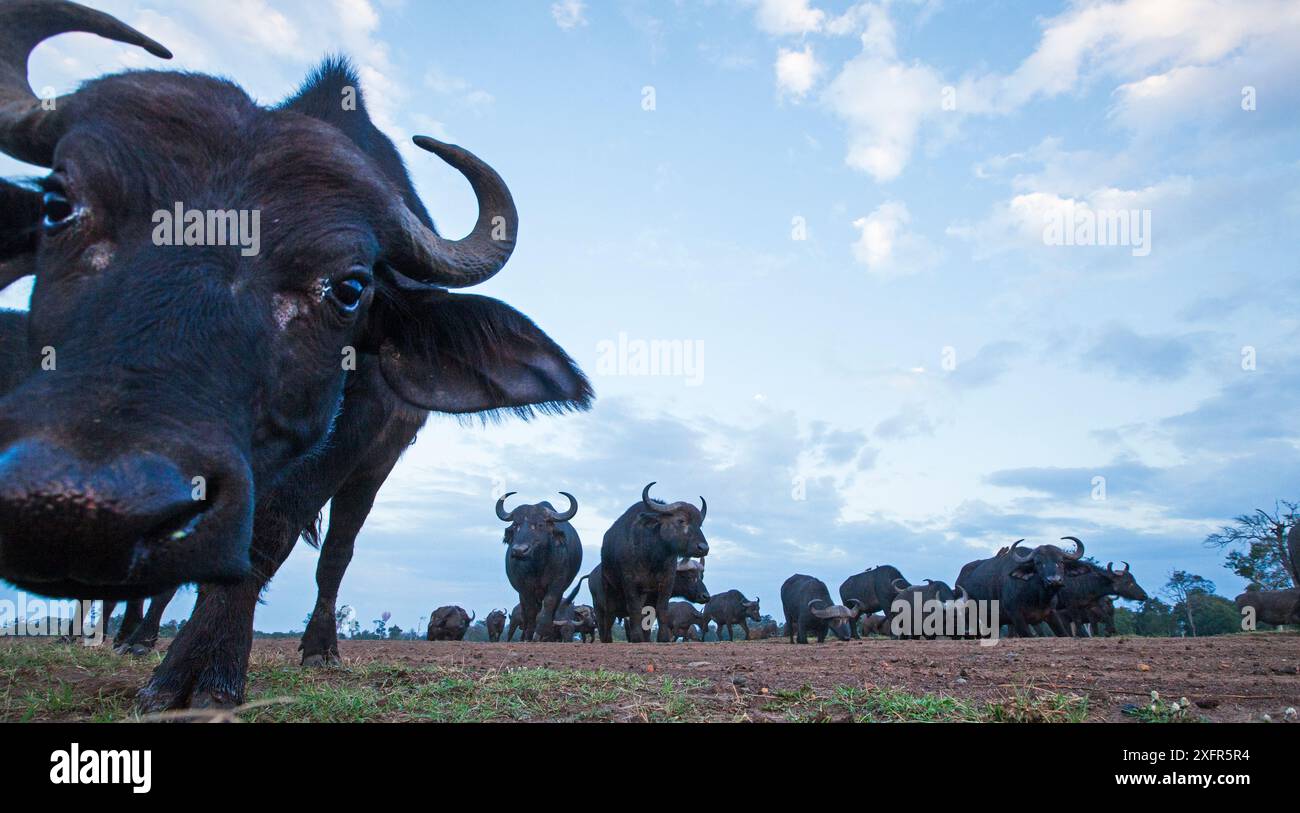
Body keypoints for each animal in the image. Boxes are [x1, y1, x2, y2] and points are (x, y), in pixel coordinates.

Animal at [498, 492, 583, 642]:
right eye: (515, 525)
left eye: (540, 524)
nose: (519, 551)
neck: (539, 565)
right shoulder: (524, 587)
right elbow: (530, 609)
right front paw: (530, 634)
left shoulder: (558, 582)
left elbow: (549, 602)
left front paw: (543, 631)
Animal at [596, 483, 709, 643]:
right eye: (681, 520)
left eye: (700, 524)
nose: (704, 548)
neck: (653, 558)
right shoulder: (630, 582)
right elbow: (634, 609)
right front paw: (637, 638)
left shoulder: (666, 582)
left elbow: (661, 611)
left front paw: (662, 638)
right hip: (607, 587)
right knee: (608, 616)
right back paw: (607, 639)